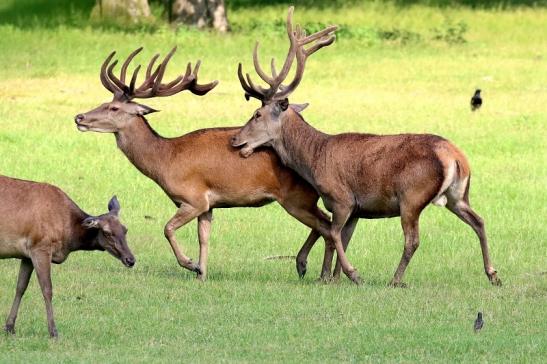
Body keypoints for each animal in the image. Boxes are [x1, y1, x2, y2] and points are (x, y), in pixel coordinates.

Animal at [0, 175, 135, 336]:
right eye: (107, 233)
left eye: (125, 230)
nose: (130, 259)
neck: (68, 237)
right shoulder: (40, 247)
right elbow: (47, 289)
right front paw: (53, 331)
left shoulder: (27, 255)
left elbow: (20, 287)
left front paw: (9, 327)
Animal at [75, 47, 346, 282]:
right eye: (104, 102)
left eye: (113, 107)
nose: (79, 117)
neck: (165, 160)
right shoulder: (208, 205)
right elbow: (203, 237)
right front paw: (202, 274)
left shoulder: (194, 198)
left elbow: (167, 228)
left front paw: (190, 264)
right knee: (325, 223)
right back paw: (306, 266)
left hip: (296, 197)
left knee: (326, 226)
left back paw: (320, 273)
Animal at [231, 7, 500, 288]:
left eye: (257, 114)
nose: (235, 140)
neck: (314, 159)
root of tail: (456, 157)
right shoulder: (358, 209)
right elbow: (343, 238)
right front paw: (332, 276)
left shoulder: (342, 198)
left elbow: (333, 233)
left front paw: (344, 274)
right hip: (458, 195)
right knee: (479, 221)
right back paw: (493, 274)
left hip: (412, 195)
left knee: (412, 239)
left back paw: (396, 279)